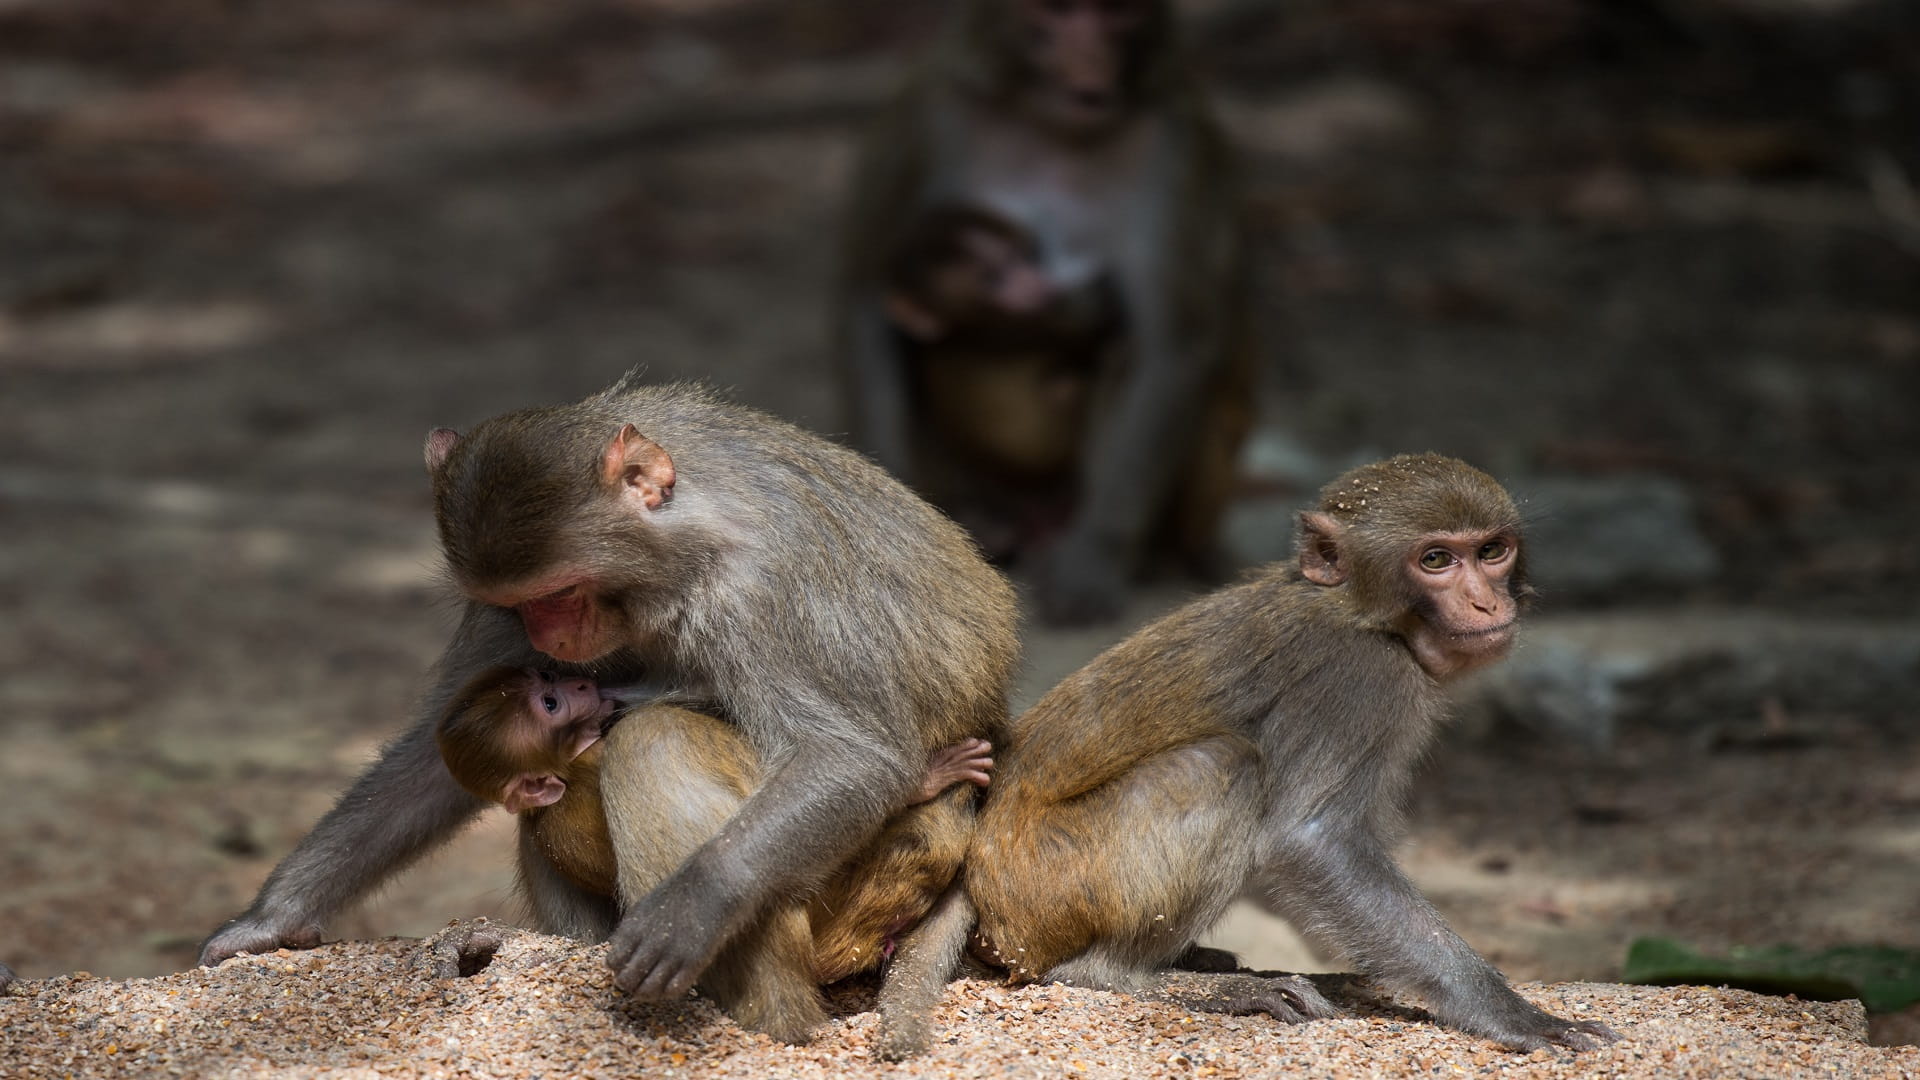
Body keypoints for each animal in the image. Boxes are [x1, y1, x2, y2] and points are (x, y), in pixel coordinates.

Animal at [838, 0, 1255, 625]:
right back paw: (988, 527)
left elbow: (1169, 340)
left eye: (1116, 16)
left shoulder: (1174, 146)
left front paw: (1090, 565)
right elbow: (867, 293)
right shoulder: (930, 109)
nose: (1089, 70)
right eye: (1055, 11)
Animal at [876, 454, 1621, 1057]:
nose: (1486, 602)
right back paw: (1119, 972)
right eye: (1436, 560)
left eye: (1492, 550)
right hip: (1048, 885)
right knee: (1222, 767)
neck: (1363, 615)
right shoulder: (1359, 679)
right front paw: (1511, 1013)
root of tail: (979, 859)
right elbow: (1311, 841)